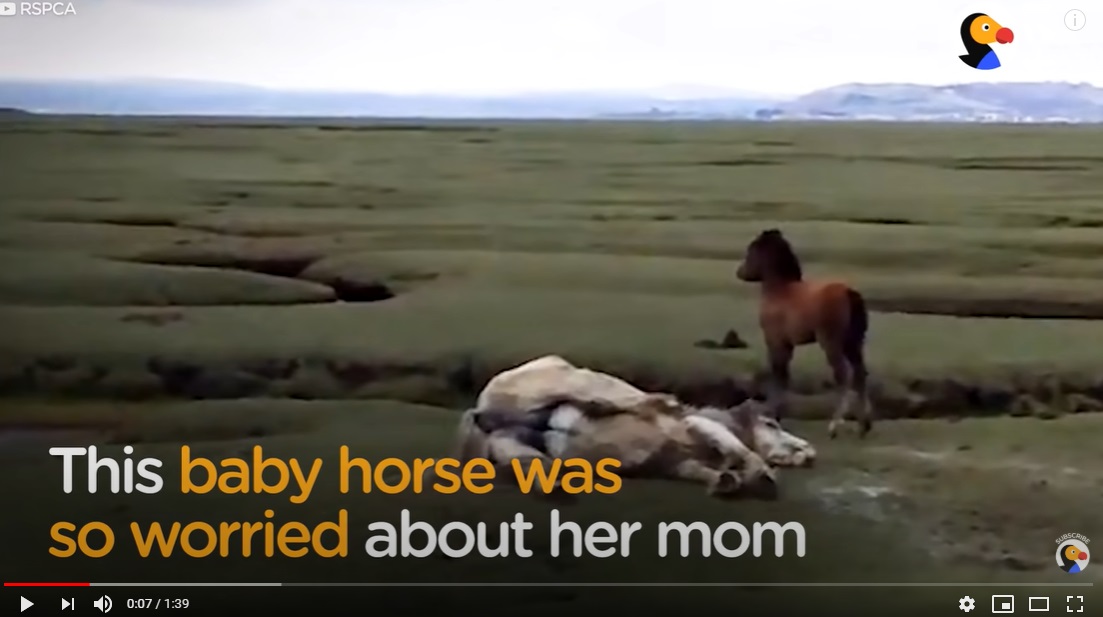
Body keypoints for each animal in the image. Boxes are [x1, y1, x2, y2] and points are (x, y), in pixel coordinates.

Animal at [450, 357, 820, 496]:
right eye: (770, 423)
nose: (811, 452)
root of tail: (481, 407)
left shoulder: (676, 464)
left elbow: (702, 471)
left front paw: (726, 481)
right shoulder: (700, 425)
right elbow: (739, 448)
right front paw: (762, 475)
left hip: (511, 443)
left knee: (530, 463)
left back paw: (555, 482)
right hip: (577, 383)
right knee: (618, 399)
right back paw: (661, 401)